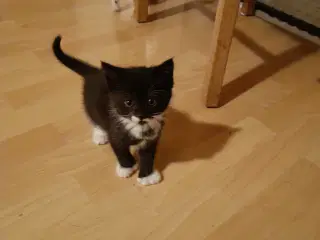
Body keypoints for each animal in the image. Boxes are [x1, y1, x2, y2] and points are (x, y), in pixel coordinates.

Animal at [51, 35, 174, 186]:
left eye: (151, 102)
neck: (138, 126)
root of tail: (95, 72)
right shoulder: (114, 130)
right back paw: (100, 134)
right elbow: (119, 149)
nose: (140, 115)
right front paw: (127, 167)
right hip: (91, 104)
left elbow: (148, 155)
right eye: (128, 102)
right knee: (94, 117)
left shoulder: (153, 137)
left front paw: (147, 176)